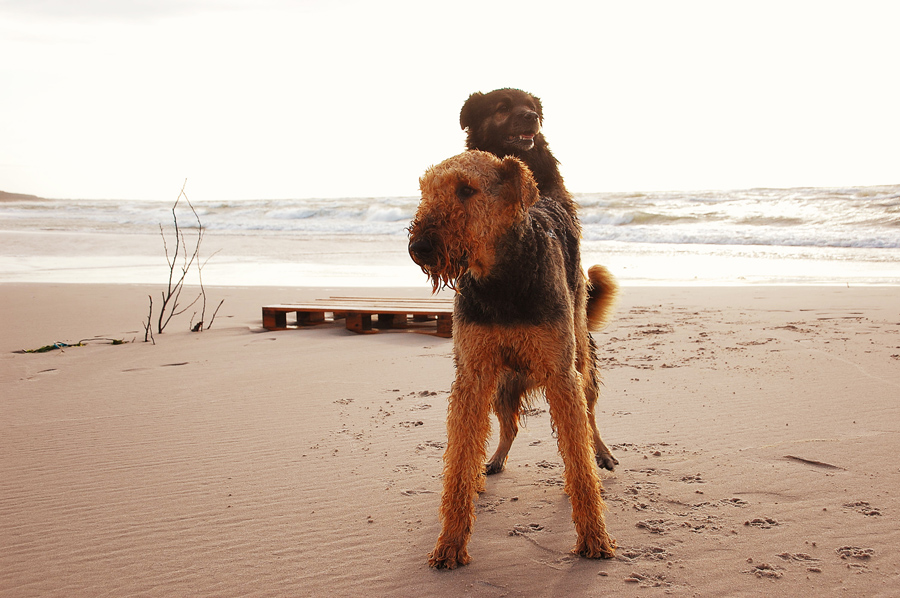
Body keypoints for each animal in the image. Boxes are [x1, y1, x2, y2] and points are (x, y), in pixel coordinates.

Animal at [410, 151, 616, 572]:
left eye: (466, 189)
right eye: (425, 191)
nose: (419, 246)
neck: (500, 280)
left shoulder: (560, 375)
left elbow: (578, 457)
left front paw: (594, 536)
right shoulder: (472, 377)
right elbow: (460, 458)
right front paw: (451, 542)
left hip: (580, 363)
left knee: (589, 419)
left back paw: (601, 453)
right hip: (500, 388)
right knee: (509, 429)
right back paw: (489, 465)